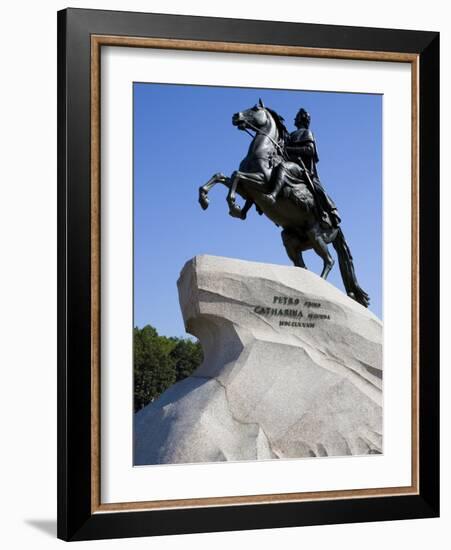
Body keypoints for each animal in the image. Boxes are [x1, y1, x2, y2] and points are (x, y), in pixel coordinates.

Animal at [199, 101, 370, 308]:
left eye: (255, 109)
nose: (235, 116)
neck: (263, 151)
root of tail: (337, 227)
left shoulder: (261, 182)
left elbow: (236, 175)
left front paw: (234, 206)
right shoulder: (247, 190)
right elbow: (222, 176)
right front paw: (205, 199)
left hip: (316, 235)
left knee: (329, 261)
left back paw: (319, 288)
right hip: (291, 239)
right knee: (302, 265)